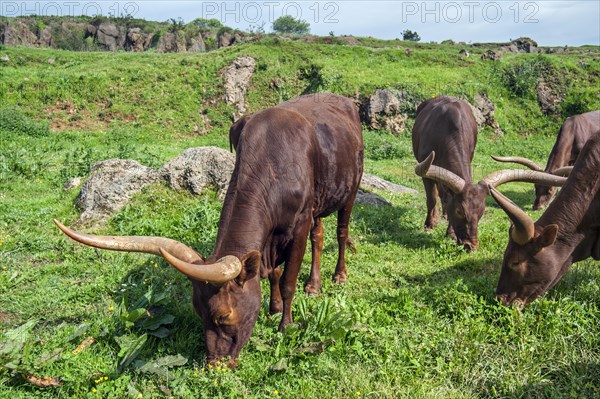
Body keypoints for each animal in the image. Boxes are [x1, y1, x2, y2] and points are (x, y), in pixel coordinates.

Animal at [54, 93, 364, 366]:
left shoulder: (298, 224)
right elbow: (274, 274)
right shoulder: (271, 239)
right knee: (319, 235)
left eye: (223, 316)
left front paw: (285, 326)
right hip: (321, 199)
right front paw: (273, 308)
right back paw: (313, 284)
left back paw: (338, 275)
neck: (274, 161)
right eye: (199, 313)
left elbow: (288, 280)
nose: (215, 364)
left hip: (351, 189)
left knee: (341, 231)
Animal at [412, 96, 568, 250]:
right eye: (459, 211)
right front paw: (429, 226)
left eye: (481, 213)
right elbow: (431, 199)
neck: (447, 130)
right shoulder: (425, 168)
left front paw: (450, 232)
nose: (471, 245)